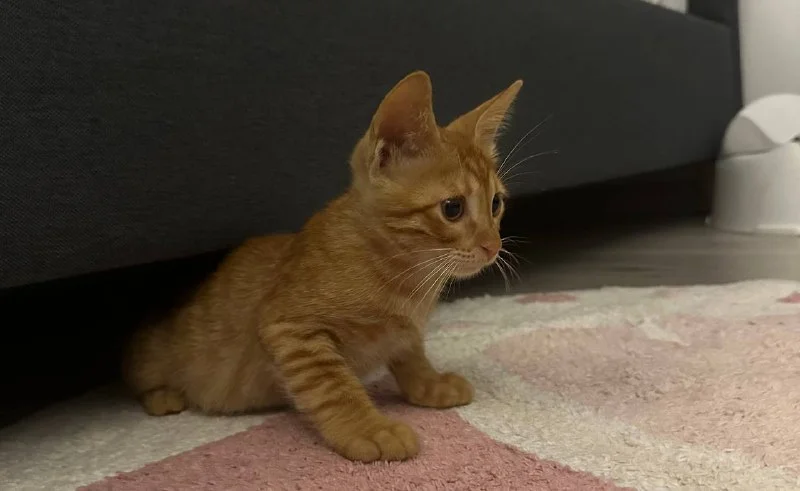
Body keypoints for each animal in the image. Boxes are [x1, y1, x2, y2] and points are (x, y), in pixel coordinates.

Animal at [123, 71, 522, 462]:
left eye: (496, 204)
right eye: (453, 208)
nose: (493, 246)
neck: (406, 277)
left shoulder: (404, 331)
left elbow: (410, 353)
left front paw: (428, 383)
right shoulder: (290, 328)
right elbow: (333, 387)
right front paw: (368, 429)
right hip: (156, 353)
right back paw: (163, 396)